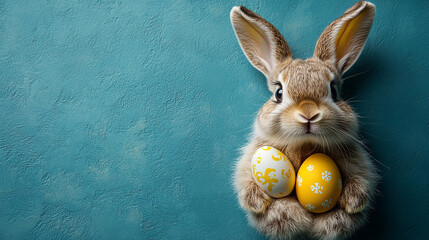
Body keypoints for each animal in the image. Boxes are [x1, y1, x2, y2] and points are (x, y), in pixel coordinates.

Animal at [231, 1, 378, 240]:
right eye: (279, 93)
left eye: (334, 91)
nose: (308, 114)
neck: (305, 144)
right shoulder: (253, 154)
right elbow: (246, 182)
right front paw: (259, 203)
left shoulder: (357, 160)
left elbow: (360, 181)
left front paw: (352, 203)